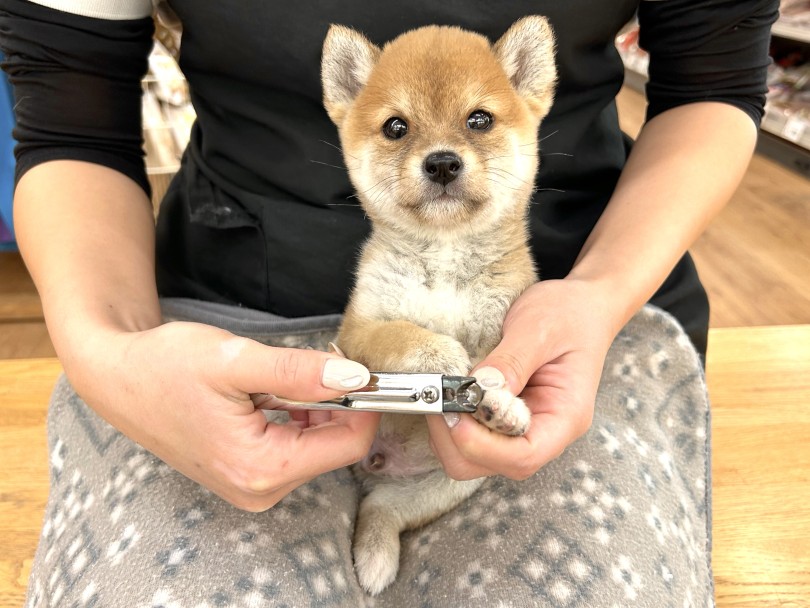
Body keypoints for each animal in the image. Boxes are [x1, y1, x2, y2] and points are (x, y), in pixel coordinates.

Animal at [321, 16, 557, 595]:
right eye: (396, 127)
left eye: (479, 119)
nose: (443, 162)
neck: (445, 257)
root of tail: (380, 465)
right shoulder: (361, 326)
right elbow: (401, 335)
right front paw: (440, 356)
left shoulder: (503, 326)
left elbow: (494, 365)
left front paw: (501, 401)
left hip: (449, 486)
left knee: (382, 511)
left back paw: (375, 553)